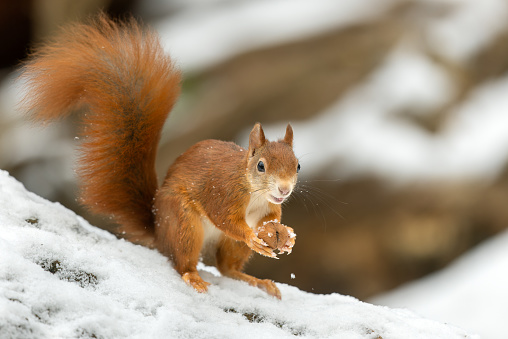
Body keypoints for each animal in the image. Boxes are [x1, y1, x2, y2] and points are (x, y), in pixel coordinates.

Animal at [18, 14, 298, 298]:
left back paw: (257, 281)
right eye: (261, 166)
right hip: (184, 223)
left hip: (226, 244)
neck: (254, 192)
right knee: (183, 261)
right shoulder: (222, 193)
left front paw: (285, 235)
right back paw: (194, 277)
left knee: (227, 268)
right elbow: (225, 219)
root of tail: (160, 233)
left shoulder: (268, 208)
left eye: (297, 165)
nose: (284, 189)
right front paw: (253, 236)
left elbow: (271, 219)